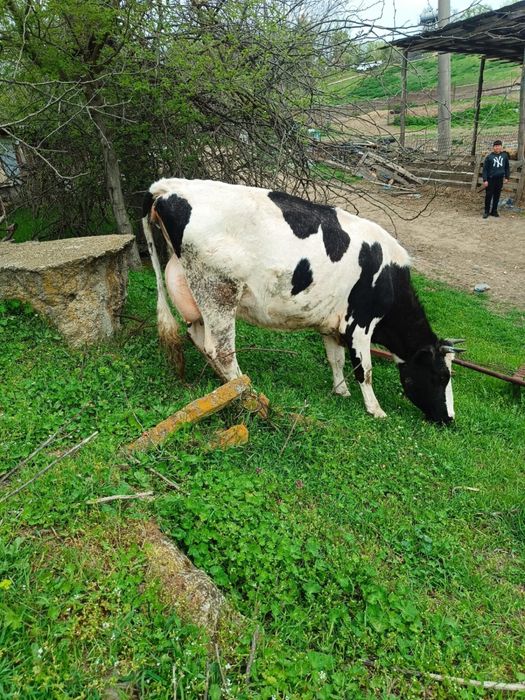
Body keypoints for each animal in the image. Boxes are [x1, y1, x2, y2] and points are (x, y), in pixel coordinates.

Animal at [142, 178, 463, 423]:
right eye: (441, 376)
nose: (449, 419)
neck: (390, 278)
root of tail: (169, 187)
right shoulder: (360, 324)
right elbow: (365, 370)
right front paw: (375, 409)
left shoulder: (332, 324)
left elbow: (336, 359)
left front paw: (341, 391)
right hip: (219, 289)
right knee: (220, 349)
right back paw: (244, 390)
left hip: (194, 290)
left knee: (197, 335)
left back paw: (224, 386)